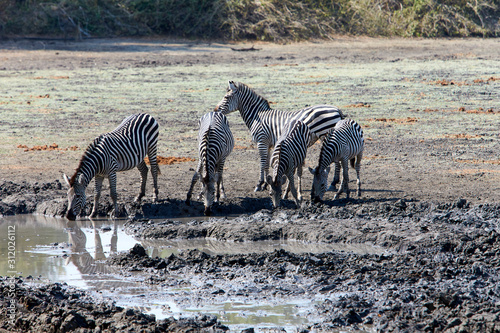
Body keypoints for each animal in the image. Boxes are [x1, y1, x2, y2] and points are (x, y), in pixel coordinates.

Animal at [215, 79, 344, 191]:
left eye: (226, 97)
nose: (216, 110)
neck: (257, 116)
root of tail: (337, 109)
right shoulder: (268, 144)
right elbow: (266, 164)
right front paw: (266, 184)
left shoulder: (261, 141)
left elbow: (262, 163)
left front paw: (259, 184)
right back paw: (335, 183)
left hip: (325, 135)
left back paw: (333, 183)